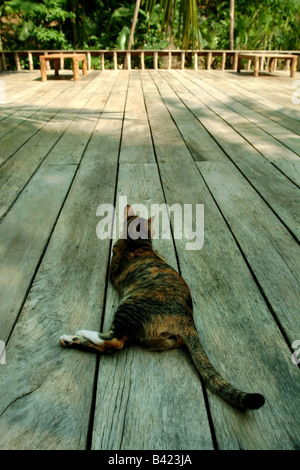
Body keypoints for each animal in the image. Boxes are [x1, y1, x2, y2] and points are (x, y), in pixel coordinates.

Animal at [60, 206, 264, 412]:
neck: (137, 242)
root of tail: (187, 320)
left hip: (129, 307)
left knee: (115, 341)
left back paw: (81, 333)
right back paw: (70, 340)